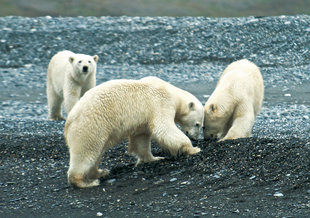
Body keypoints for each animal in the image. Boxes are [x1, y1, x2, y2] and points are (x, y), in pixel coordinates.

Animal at [64, 76, 205, 187]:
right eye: (198, 124)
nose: (195, 138)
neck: (172, 93)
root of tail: (68, 122)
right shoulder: (160, 103)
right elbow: (164, 128)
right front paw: (193, 149)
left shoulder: (143, 120)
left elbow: (141, 139)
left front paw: (154, 158)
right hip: (90, 127)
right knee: (85, 152)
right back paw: (86, 182)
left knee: (96, 154)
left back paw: (101, 172)